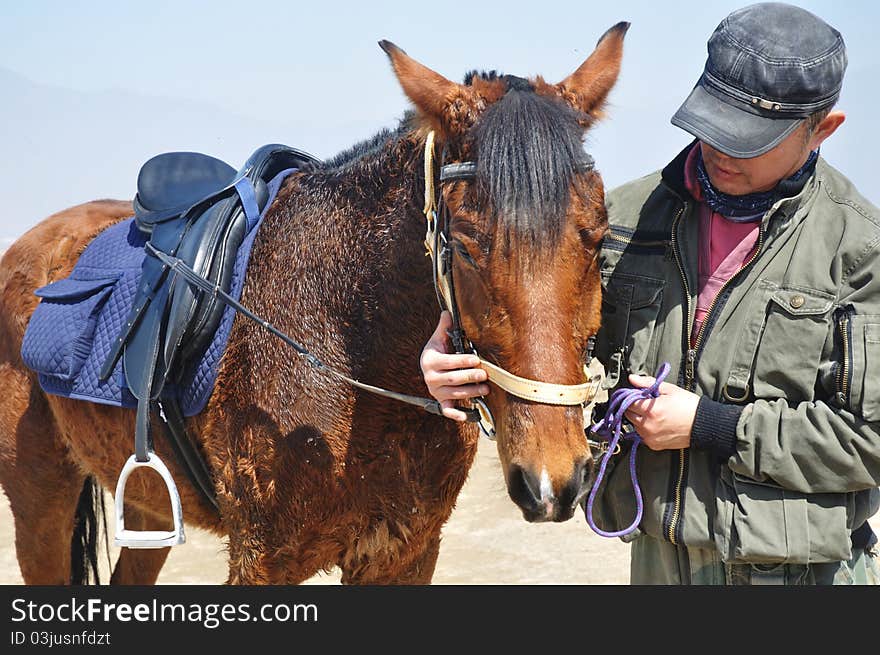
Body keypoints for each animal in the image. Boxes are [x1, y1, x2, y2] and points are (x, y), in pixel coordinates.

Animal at [0, 26, 624, 588]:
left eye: (597, 238)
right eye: (467, 246)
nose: (552, 480)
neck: (350, 345)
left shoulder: (403, 556)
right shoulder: (262, 561)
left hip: (149, 499)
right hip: (39, 496)